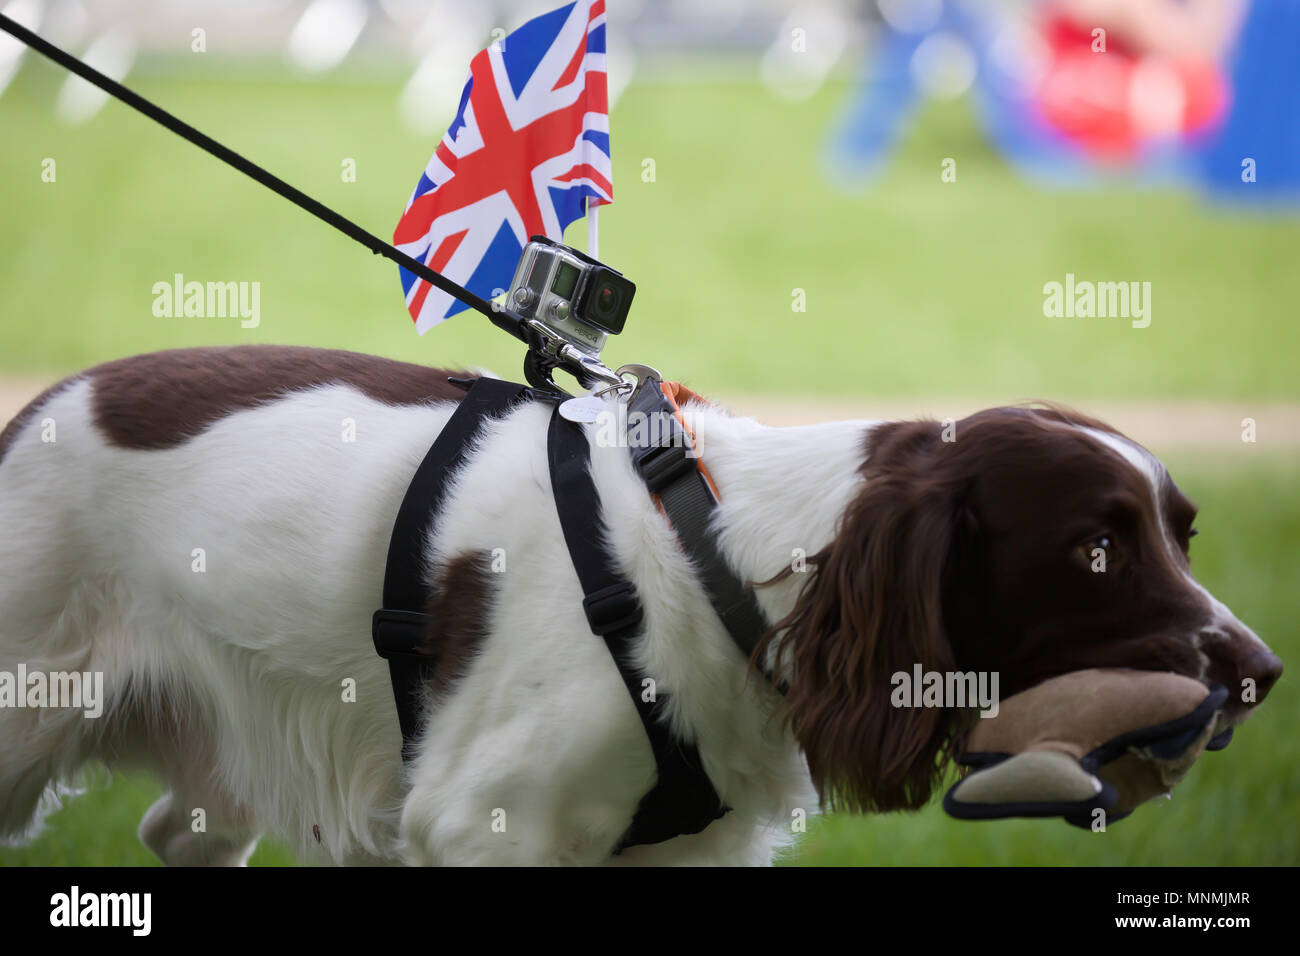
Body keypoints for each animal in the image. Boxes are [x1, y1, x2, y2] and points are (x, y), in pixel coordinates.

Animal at [0, 345, 1279, 868]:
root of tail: (38, 407)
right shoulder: (483, 826)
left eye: (1180, 531)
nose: (1263, 671)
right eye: (1096, 547)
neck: (718, 563)